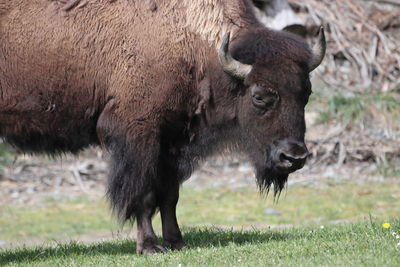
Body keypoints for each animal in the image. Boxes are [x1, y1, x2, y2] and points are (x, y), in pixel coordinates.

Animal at [0, 0, 324, 254]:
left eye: (306, 93)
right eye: (259, 96)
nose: (294, 157)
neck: (189, 40)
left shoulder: (173, 141)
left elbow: (169, 196)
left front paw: (177, 242)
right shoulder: (140, 135)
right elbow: (143, 194)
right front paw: (150, 246)